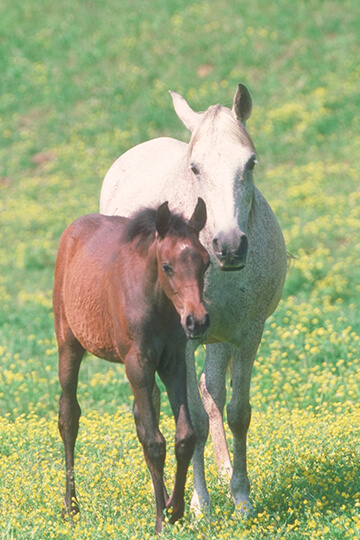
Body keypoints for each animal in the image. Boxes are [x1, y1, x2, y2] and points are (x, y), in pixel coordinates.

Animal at [99, 83, 286, 516]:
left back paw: (224, 472)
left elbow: (236, 412)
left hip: (217, 339)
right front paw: (200, 507)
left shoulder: (246, 335)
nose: (229, 246)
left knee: (210, 391)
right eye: (195, 168)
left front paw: (241, 499)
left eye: (250, 163)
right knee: (157, 402)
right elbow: (193, 422)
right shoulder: (182, 342)